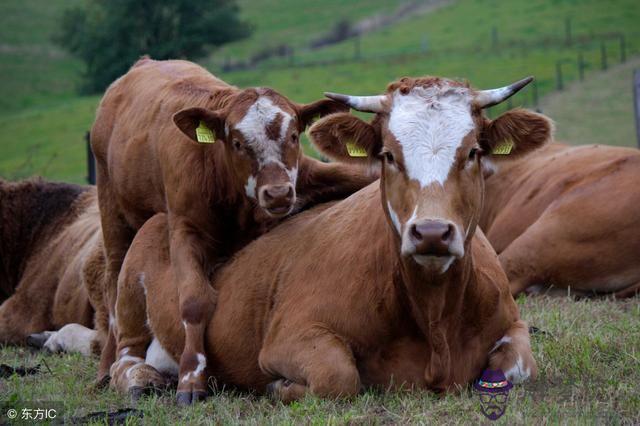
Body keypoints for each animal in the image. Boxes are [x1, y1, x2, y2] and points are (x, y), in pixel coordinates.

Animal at [92, 58, 378, 402]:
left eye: (294, 136)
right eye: (239, 143)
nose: (278, 194)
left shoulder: (308, 177)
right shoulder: (184, 229)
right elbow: (193, 301)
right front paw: (191, 378)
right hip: (113, 213)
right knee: (113, 285)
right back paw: (109, 369)